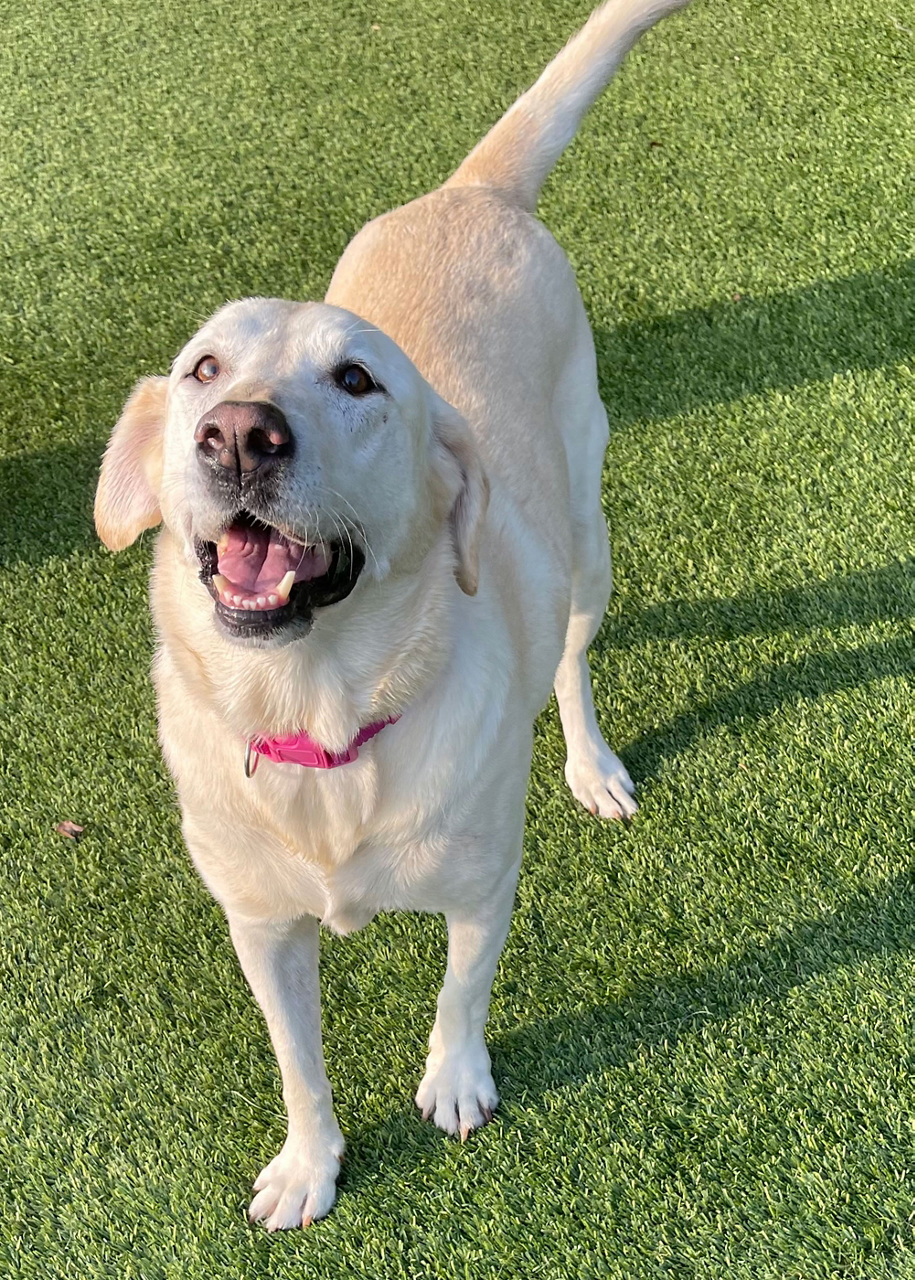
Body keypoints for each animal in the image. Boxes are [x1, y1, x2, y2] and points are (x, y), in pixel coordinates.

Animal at [96, 0, 691, 1228]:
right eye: (202, 366)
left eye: (358, 380)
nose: (240, 433)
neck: (322, 715)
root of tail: (473, 195)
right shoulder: (260, 926)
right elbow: (297, 1059)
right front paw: (307, 1163)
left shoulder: (483, 885)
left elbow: (461, 993)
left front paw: (455, 1081)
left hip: (589, 536)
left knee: (571, 654)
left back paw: (591, 761)